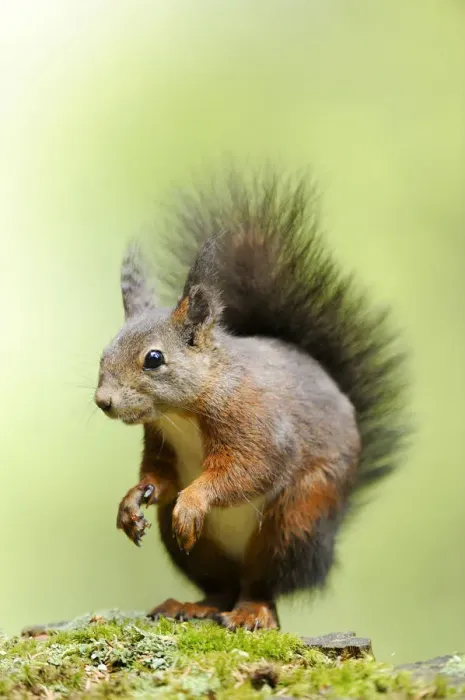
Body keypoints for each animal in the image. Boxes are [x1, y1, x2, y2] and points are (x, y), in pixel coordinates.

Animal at [94, 170, 408, 631]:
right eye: (103, 353)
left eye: (154, 359)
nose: (103, 401)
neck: (183, 414)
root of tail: (326, 551)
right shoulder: (160, 440)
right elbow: (159, 476)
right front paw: (132, 501)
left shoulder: (254, 420)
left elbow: (250, 468)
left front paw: (194, 500)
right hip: (194, 548)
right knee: (221, 587)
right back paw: (193, 605)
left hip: (295, 522)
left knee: (265, 585)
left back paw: (251, 612)